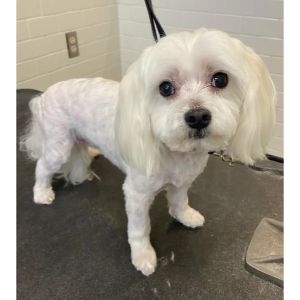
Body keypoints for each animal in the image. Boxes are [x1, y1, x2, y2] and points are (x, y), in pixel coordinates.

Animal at [19, 28, 276, 276]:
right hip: (58, 145)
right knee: (42, 166)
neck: (178, 153)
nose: (197, 117)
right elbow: (139, 229)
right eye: (165, 88)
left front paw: (185, 216)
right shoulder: (137, 194)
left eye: (220, 79)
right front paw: (143, 256)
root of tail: (44, 95)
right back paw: (41, 193)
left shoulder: (183, 181)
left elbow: (179, 201)